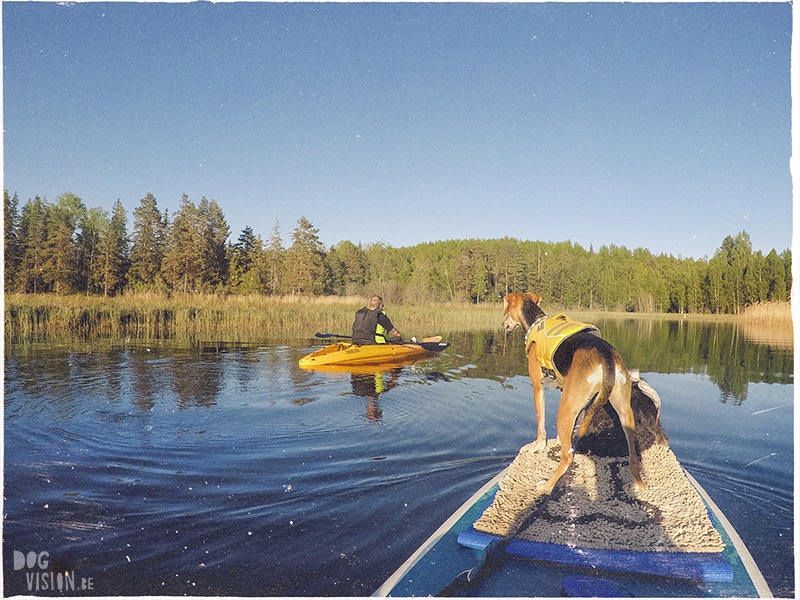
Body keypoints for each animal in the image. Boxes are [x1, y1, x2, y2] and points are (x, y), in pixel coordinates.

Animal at [504, 290, 648, 492]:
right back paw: (638, 484)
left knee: (567, 457)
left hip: (565, 409)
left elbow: (540, 423)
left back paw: (547, 484)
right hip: (624, 411)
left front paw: (538, 447)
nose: (503, 324)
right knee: (633, 455)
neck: (536, 322)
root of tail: (605, 355)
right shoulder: (568, 392)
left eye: (506, 309)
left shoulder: (537, 388)